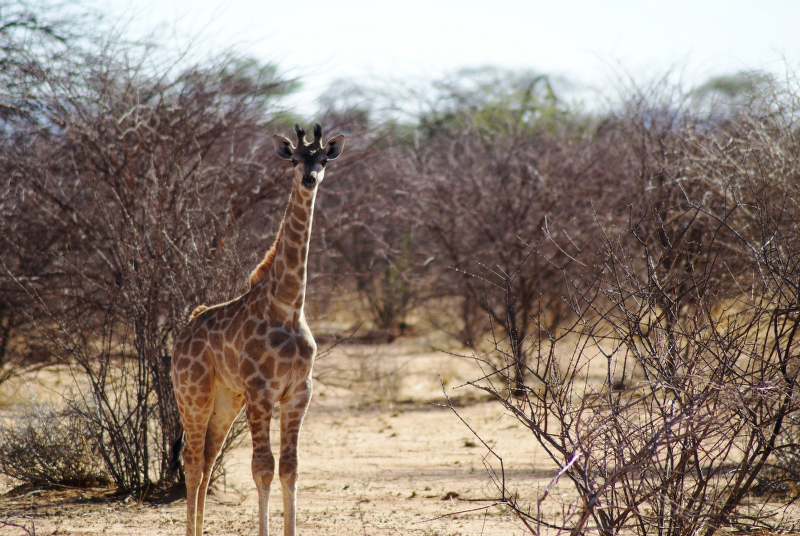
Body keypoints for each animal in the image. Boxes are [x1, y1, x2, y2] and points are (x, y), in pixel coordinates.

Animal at [170, 123, 345, 536]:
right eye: (295, 159)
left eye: (324, 159)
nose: (309, 179)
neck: (288, 306)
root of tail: (183, 333)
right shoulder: (262, 391)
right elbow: (262, 468)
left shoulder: (299, 392)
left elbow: (290, 469)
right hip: (192, 394)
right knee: (193, 461)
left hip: (226, 399)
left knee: (208, 458)